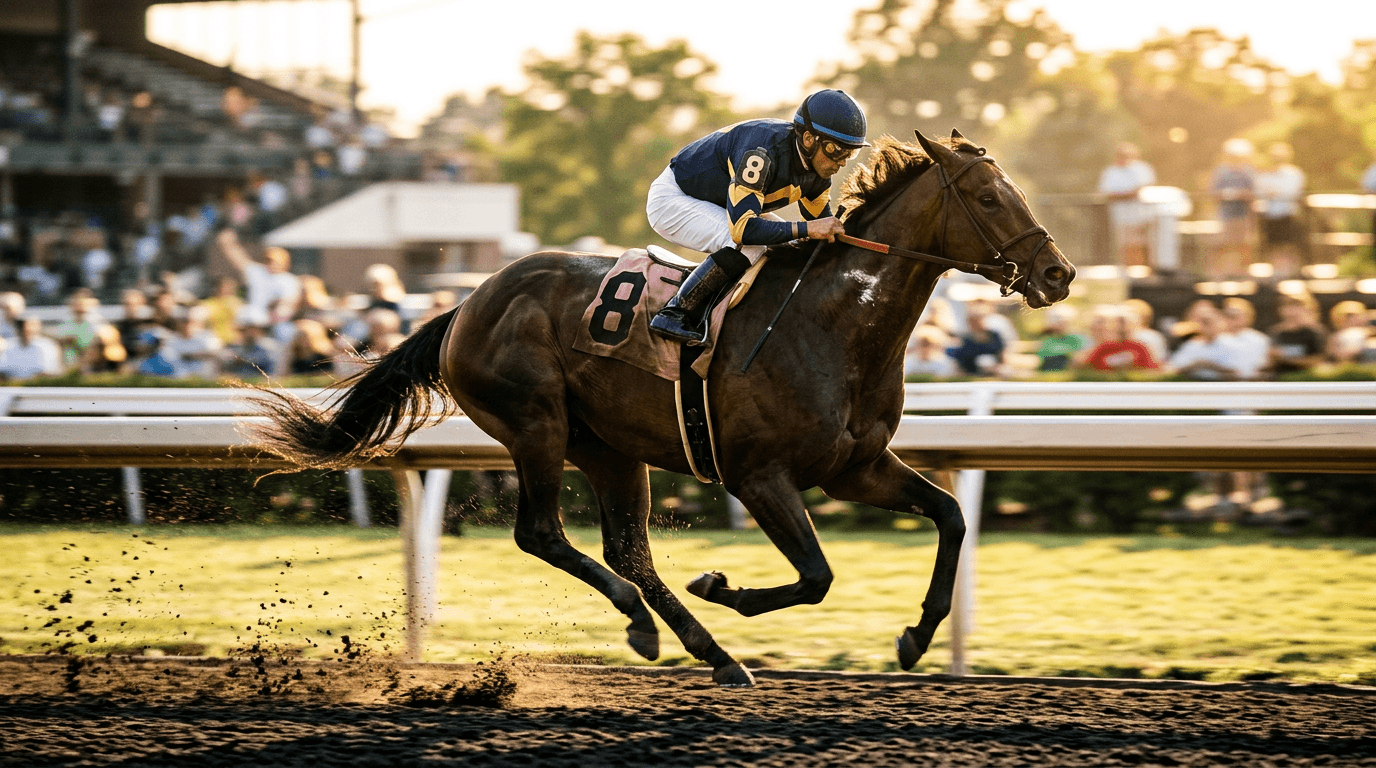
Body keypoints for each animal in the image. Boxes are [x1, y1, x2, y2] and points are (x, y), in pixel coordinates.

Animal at [251, 129, 1076, 687]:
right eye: (991, 198)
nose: (1058, 274)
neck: (833, 326)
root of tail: (464, 305)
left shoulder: (856, 468)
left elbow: (951, 515)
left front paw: (915, 637)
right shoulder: (758, 475)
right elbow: (815, 576)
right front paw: (724, 588)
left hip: (609, 447)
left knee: (628, 552)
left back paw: (702, 650)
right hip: (537, 425)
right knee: (543, 534)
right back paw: (655, 627)